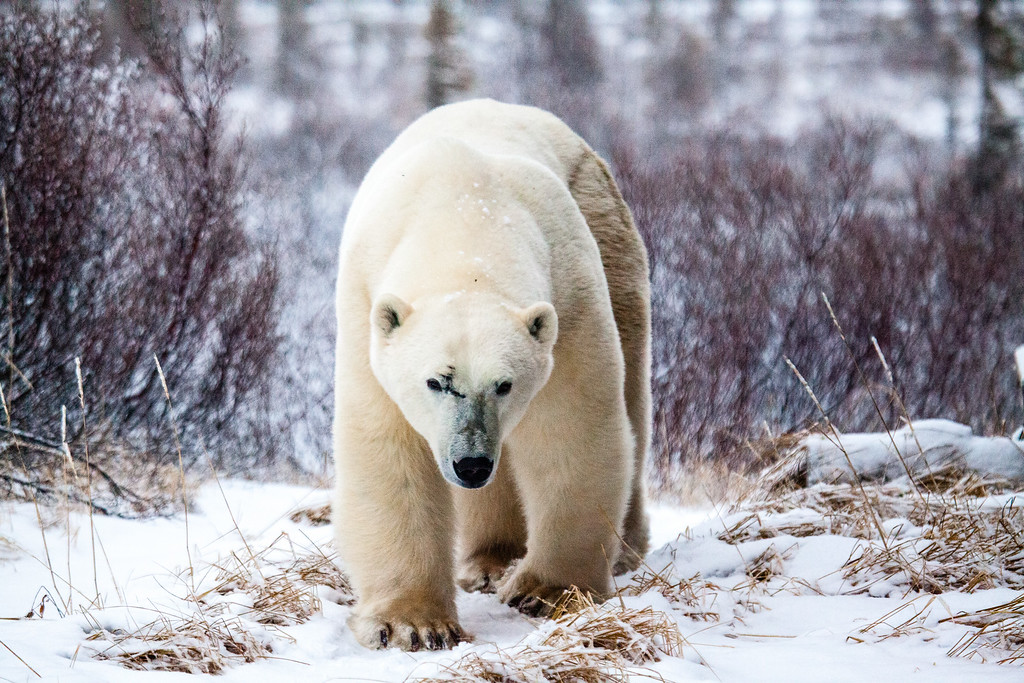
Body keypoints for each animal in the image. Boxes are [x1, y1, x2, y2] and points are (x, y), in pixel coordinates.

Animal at [332, 99, 651, 652]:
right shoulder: (366, 309)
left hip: (608, 230)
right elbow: (389, 451)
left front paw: (546, 592)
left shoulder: (571, 298)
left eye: (505, 384)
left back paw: (625, 549)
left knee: (632, 394)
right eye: (435, 382)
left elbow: (571, 432)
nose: (472, 463)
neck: (463, 214)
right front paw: (414, 624)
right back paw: (489, 559)